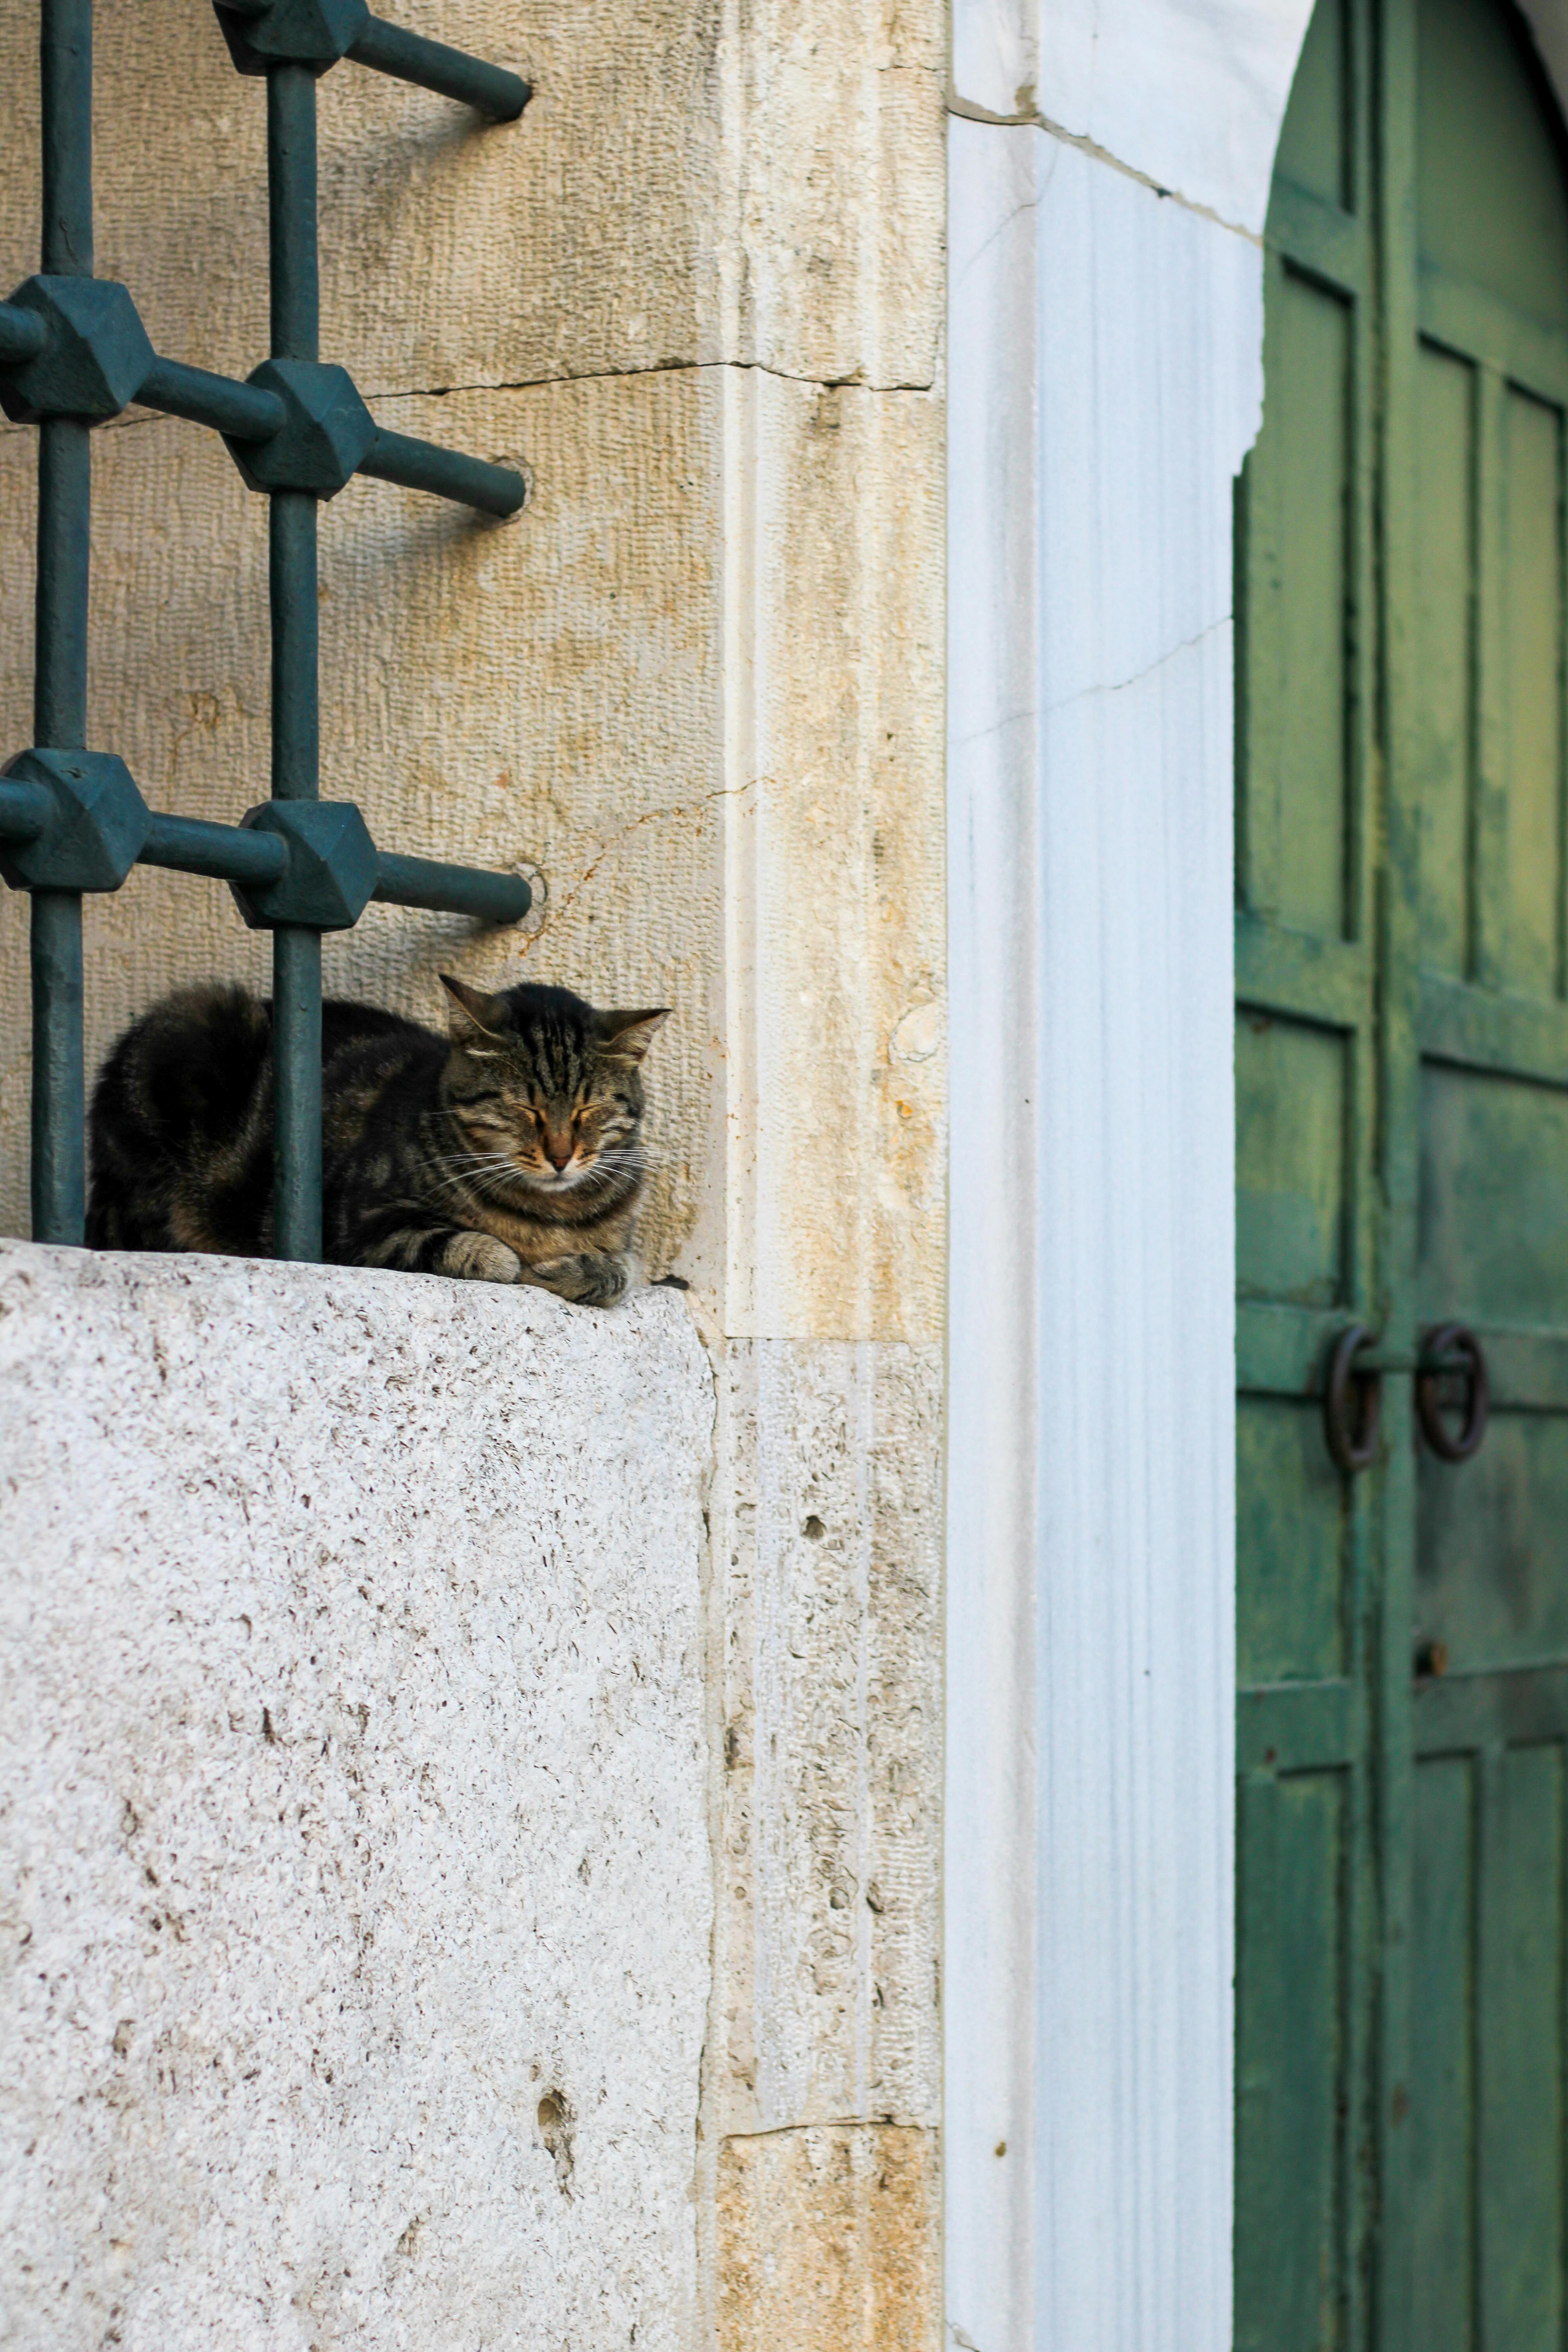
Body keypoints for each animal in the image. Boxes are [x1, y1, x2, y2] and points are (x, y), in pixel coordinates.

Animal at [87, 974, 668, 1308]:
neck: (551, 1214)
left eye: (589, 1110)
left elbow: (624, 1270)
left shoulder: (623, 1243)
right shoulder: (357, 1225)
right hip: (193, 1025)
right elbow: (473, 1248)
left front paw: (577, 1269)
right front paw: (519, 1262)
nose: (561, 1156)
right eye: (525, 1108)